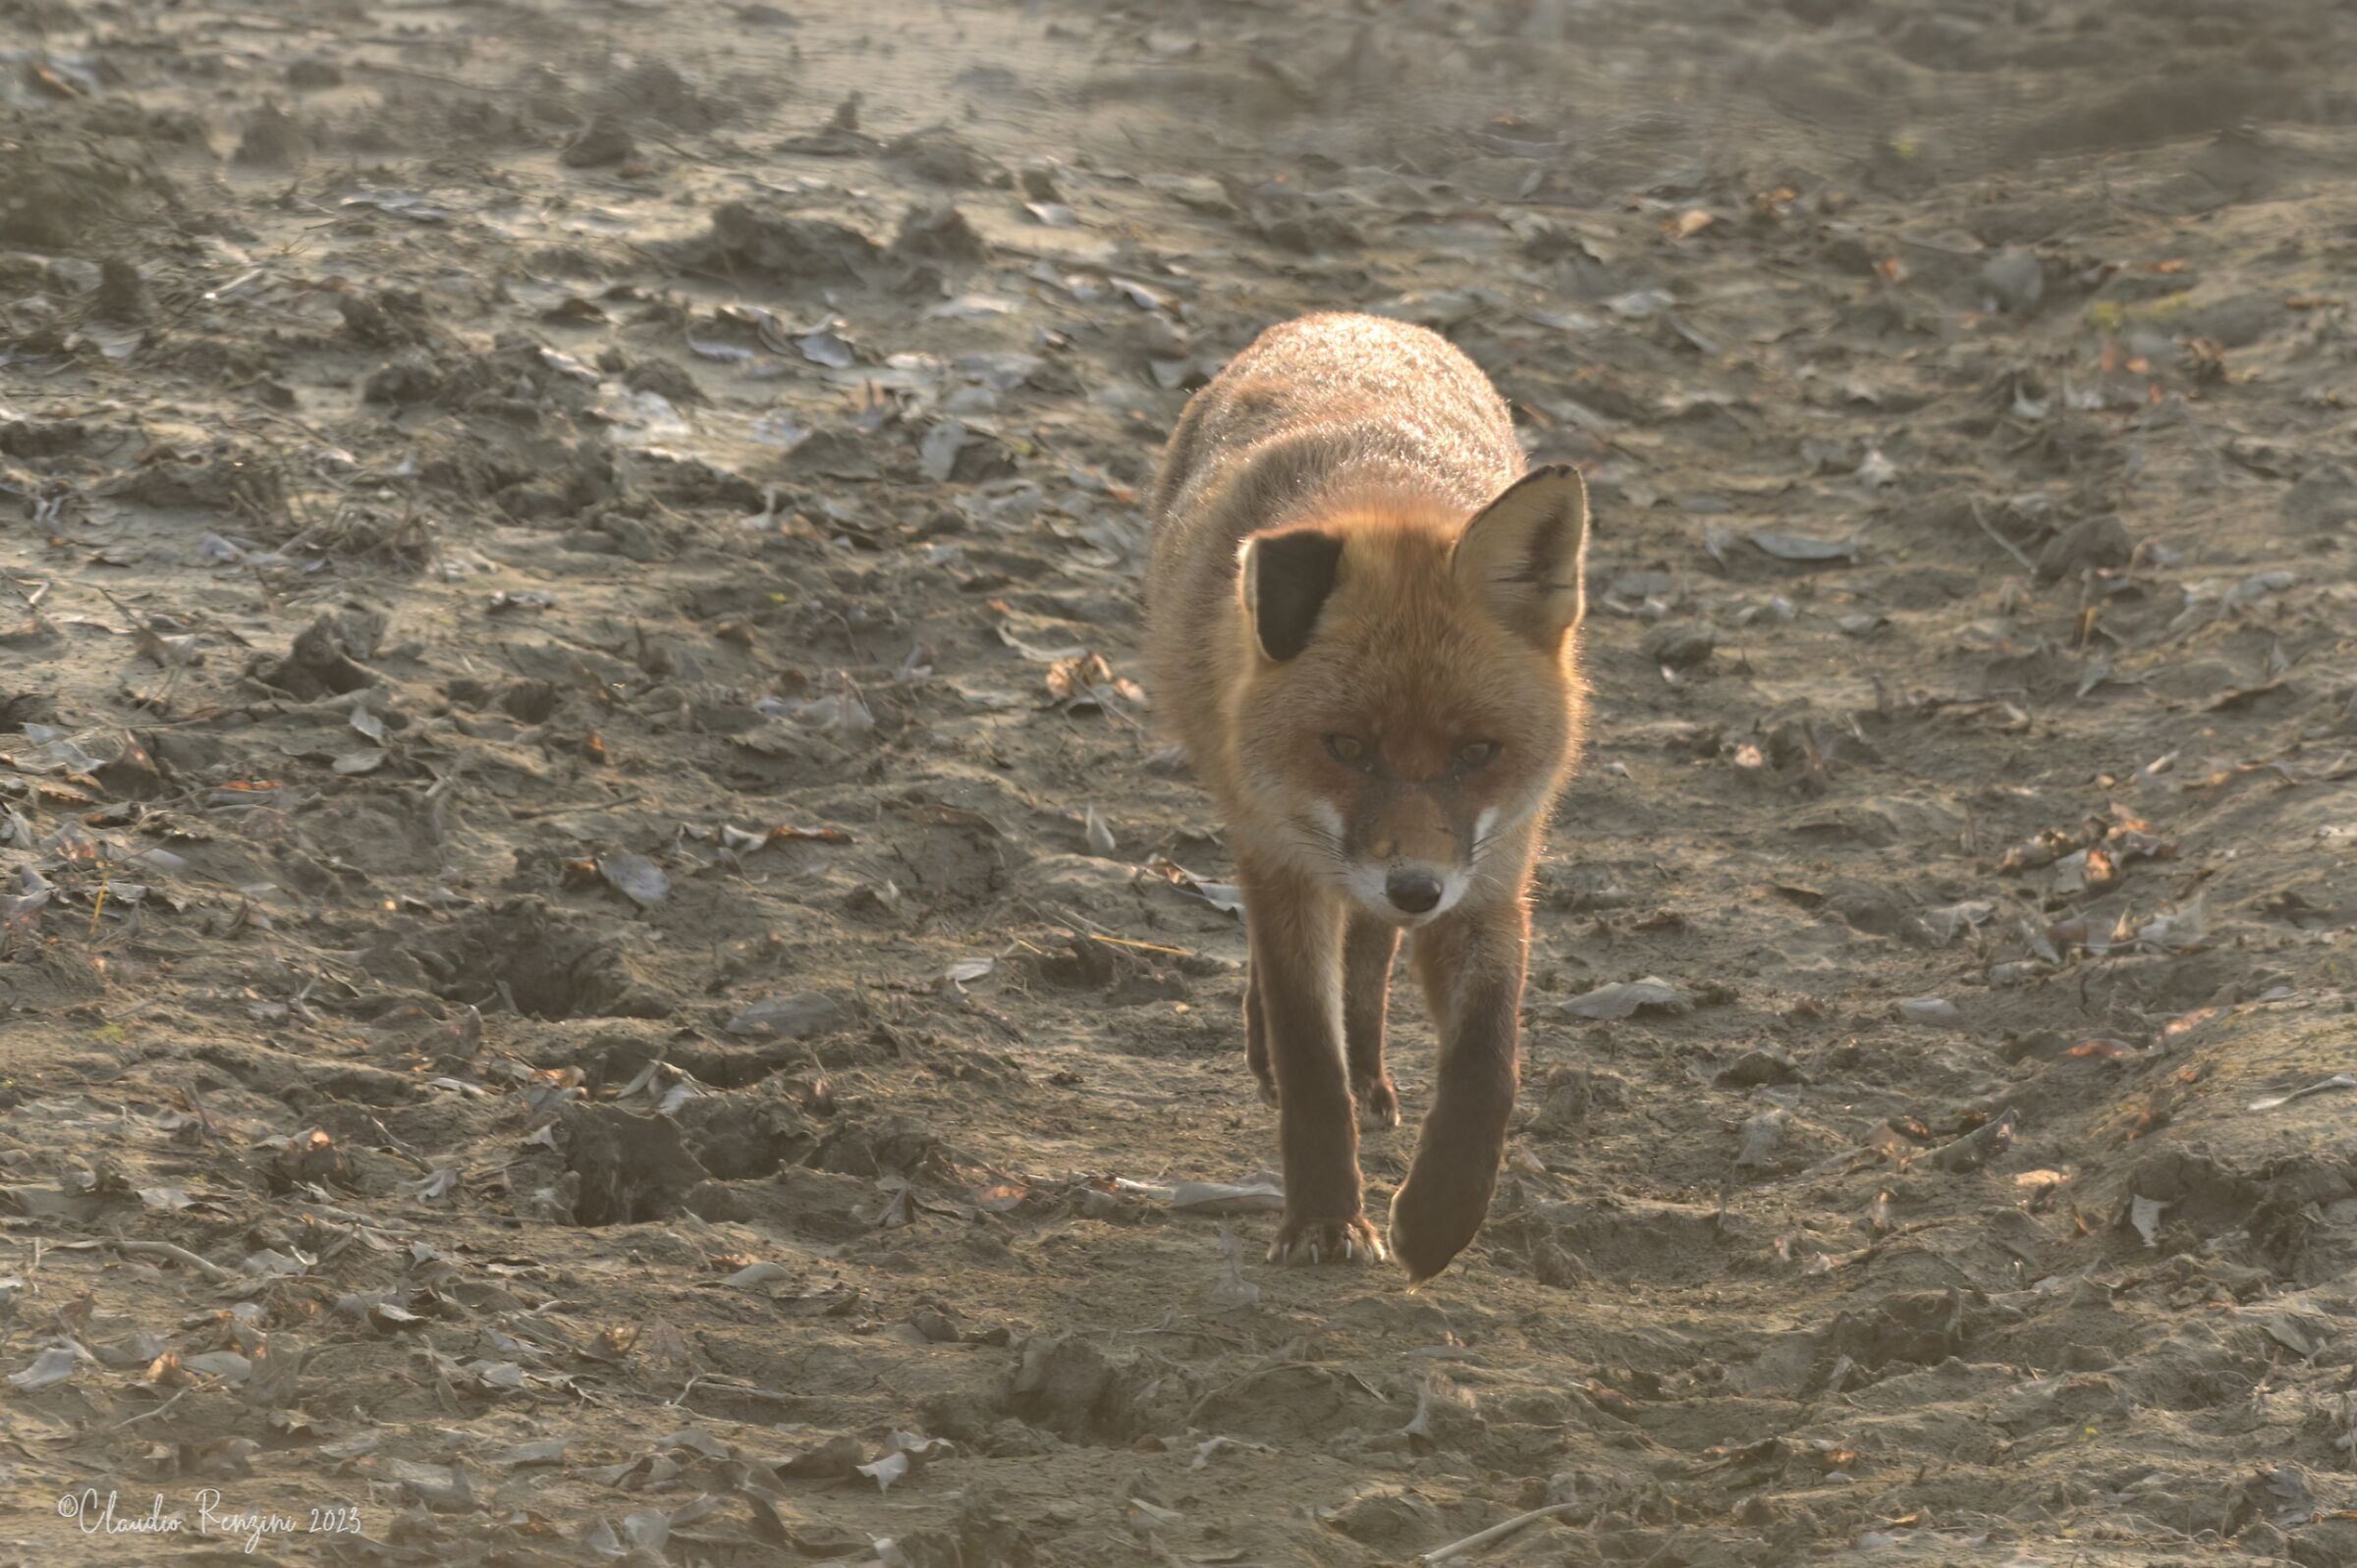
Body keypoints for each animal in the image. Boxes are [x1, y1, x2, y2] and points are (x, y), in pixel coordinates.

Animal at [1145, 311, 1590, 1283]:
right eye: (1347, 747)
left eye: (1477, 752)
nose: (1415, 887)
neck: (1382, 485)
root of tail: (1351, 318)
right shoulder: (1283, 856)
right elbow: (1308, 1057)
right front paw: (1323, 1217)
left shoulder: (1492, 873)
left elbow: (1488, 1065)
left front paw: (1441, 1215)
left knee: (1370, 958)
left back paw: (1371, 1071)